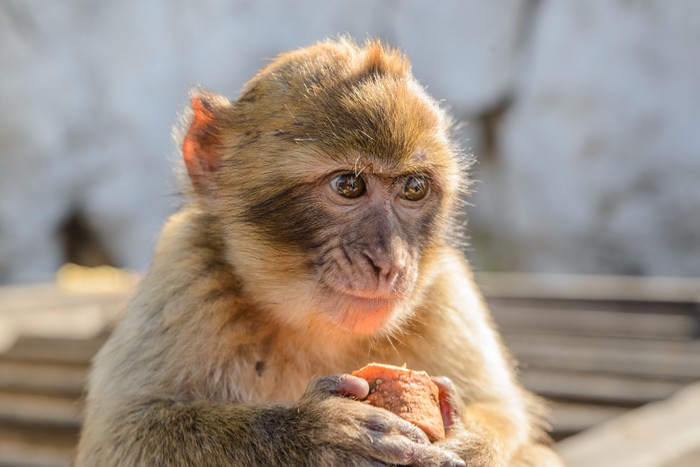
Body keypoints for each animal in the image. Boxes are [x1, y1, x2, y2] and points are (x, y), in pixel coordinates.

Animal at [75, 38, 564, 466]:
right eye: (349, 185)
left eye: (413, 187)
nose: (390, 263)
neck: (315, 329)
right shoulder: (187, 272)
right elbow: (121, 434)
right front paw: (315, 432)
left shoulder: (445, 289)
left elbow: (504, 412)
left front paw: (468, 439)